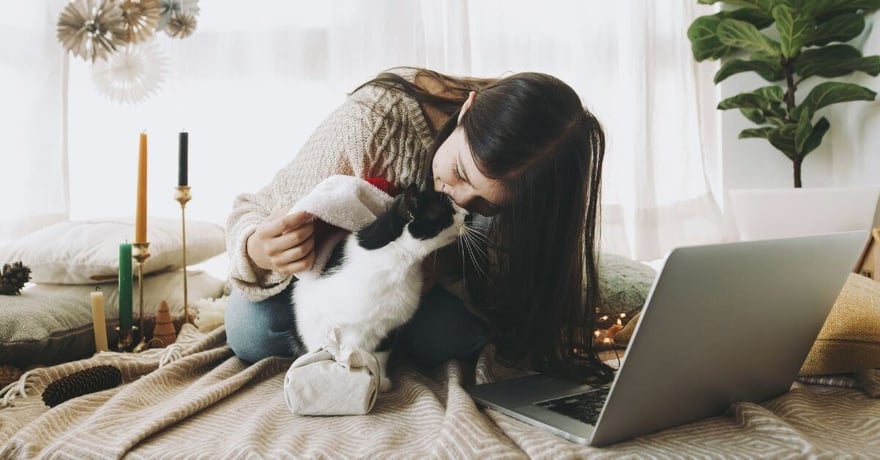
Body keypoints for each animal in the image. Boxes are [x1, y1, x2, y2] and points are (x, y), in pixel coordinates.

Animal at [290, 183, 470, 392]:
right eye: (447, 210)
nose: (468, 214)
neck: (400, 262)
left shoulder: (388, 326)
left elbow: (381, 355)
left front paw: (379, 379)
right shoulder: (335, 321)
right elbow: (338, 348)